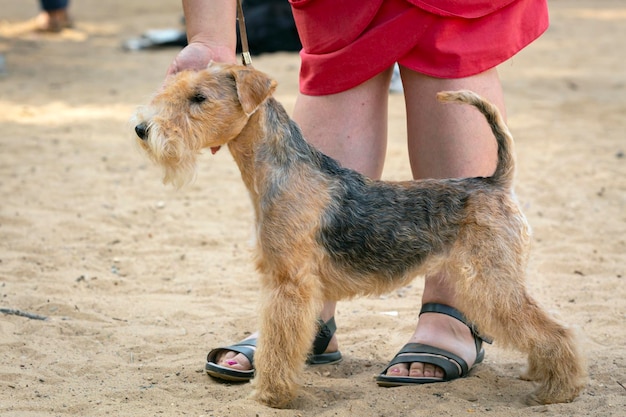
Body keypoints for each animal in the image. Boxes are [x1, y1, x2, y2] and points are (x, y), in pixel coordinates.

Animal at [133, 63, 584, 408]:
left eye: (199, 98)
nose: (142, 129)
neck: (281, 171)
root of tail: (495, 182)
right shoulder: (288, 282)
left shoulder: (289, 284)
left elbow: (278, 345)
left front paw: (270, 394)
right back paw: (538, 374)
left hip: (490, 280)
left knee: (556, 331)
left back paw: (559, 391)